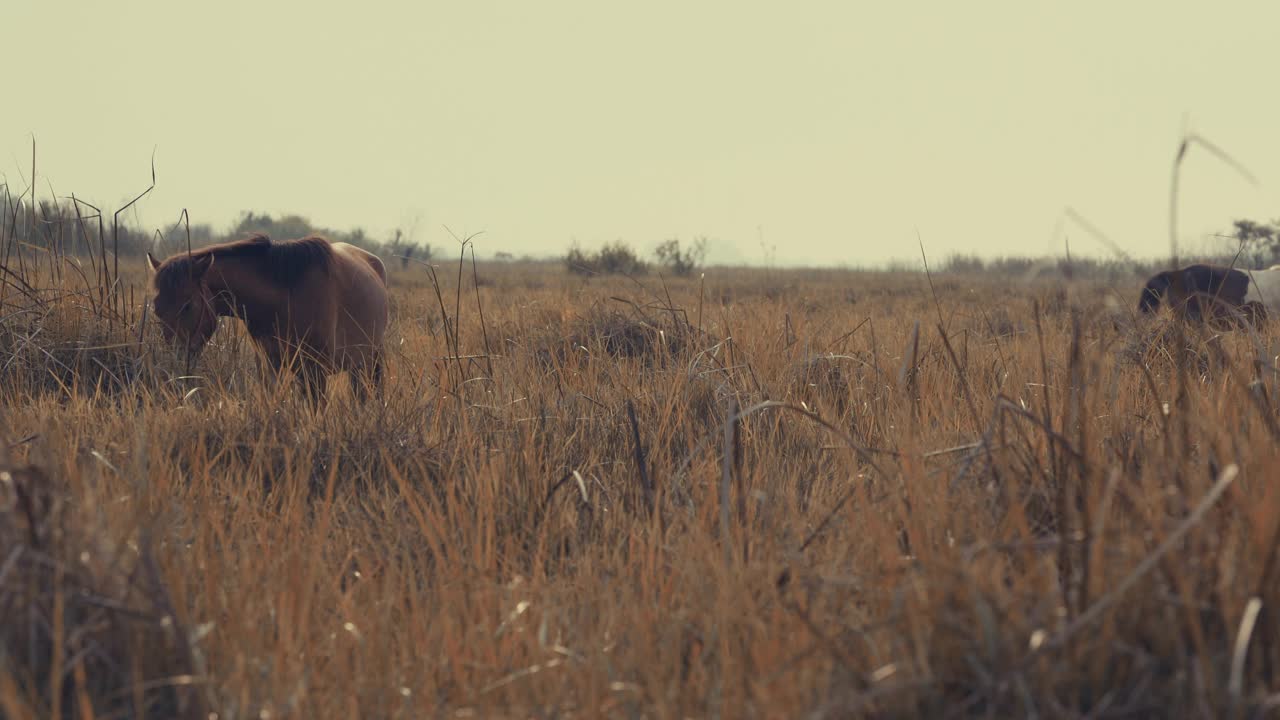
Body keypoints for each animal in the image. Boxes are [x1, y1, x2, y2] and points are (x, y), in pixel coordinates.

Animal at [146, 235, 389, 404]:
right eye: (156, 310)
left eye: (187, 305)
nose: (177, 364)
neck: (286, 296)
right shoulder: (270, 368)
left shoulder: (315, 371)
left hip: (367, 362)